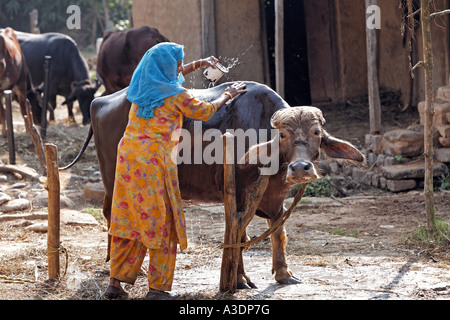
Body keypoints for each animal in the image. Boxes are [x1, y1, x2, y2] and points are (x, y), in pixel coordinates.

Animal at [62, 80, 366, 288]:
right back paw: (118, 266)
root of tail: (100, 102)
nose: (300, 168)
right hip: (114, 178)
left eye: (316, 133)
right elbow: (239, 235)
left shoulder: (275, 199)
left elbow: (278, 232)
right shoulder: (239, 195)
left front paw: (284, 274)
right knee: (115, 217)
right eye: (282, 136)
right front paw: (240, 279)